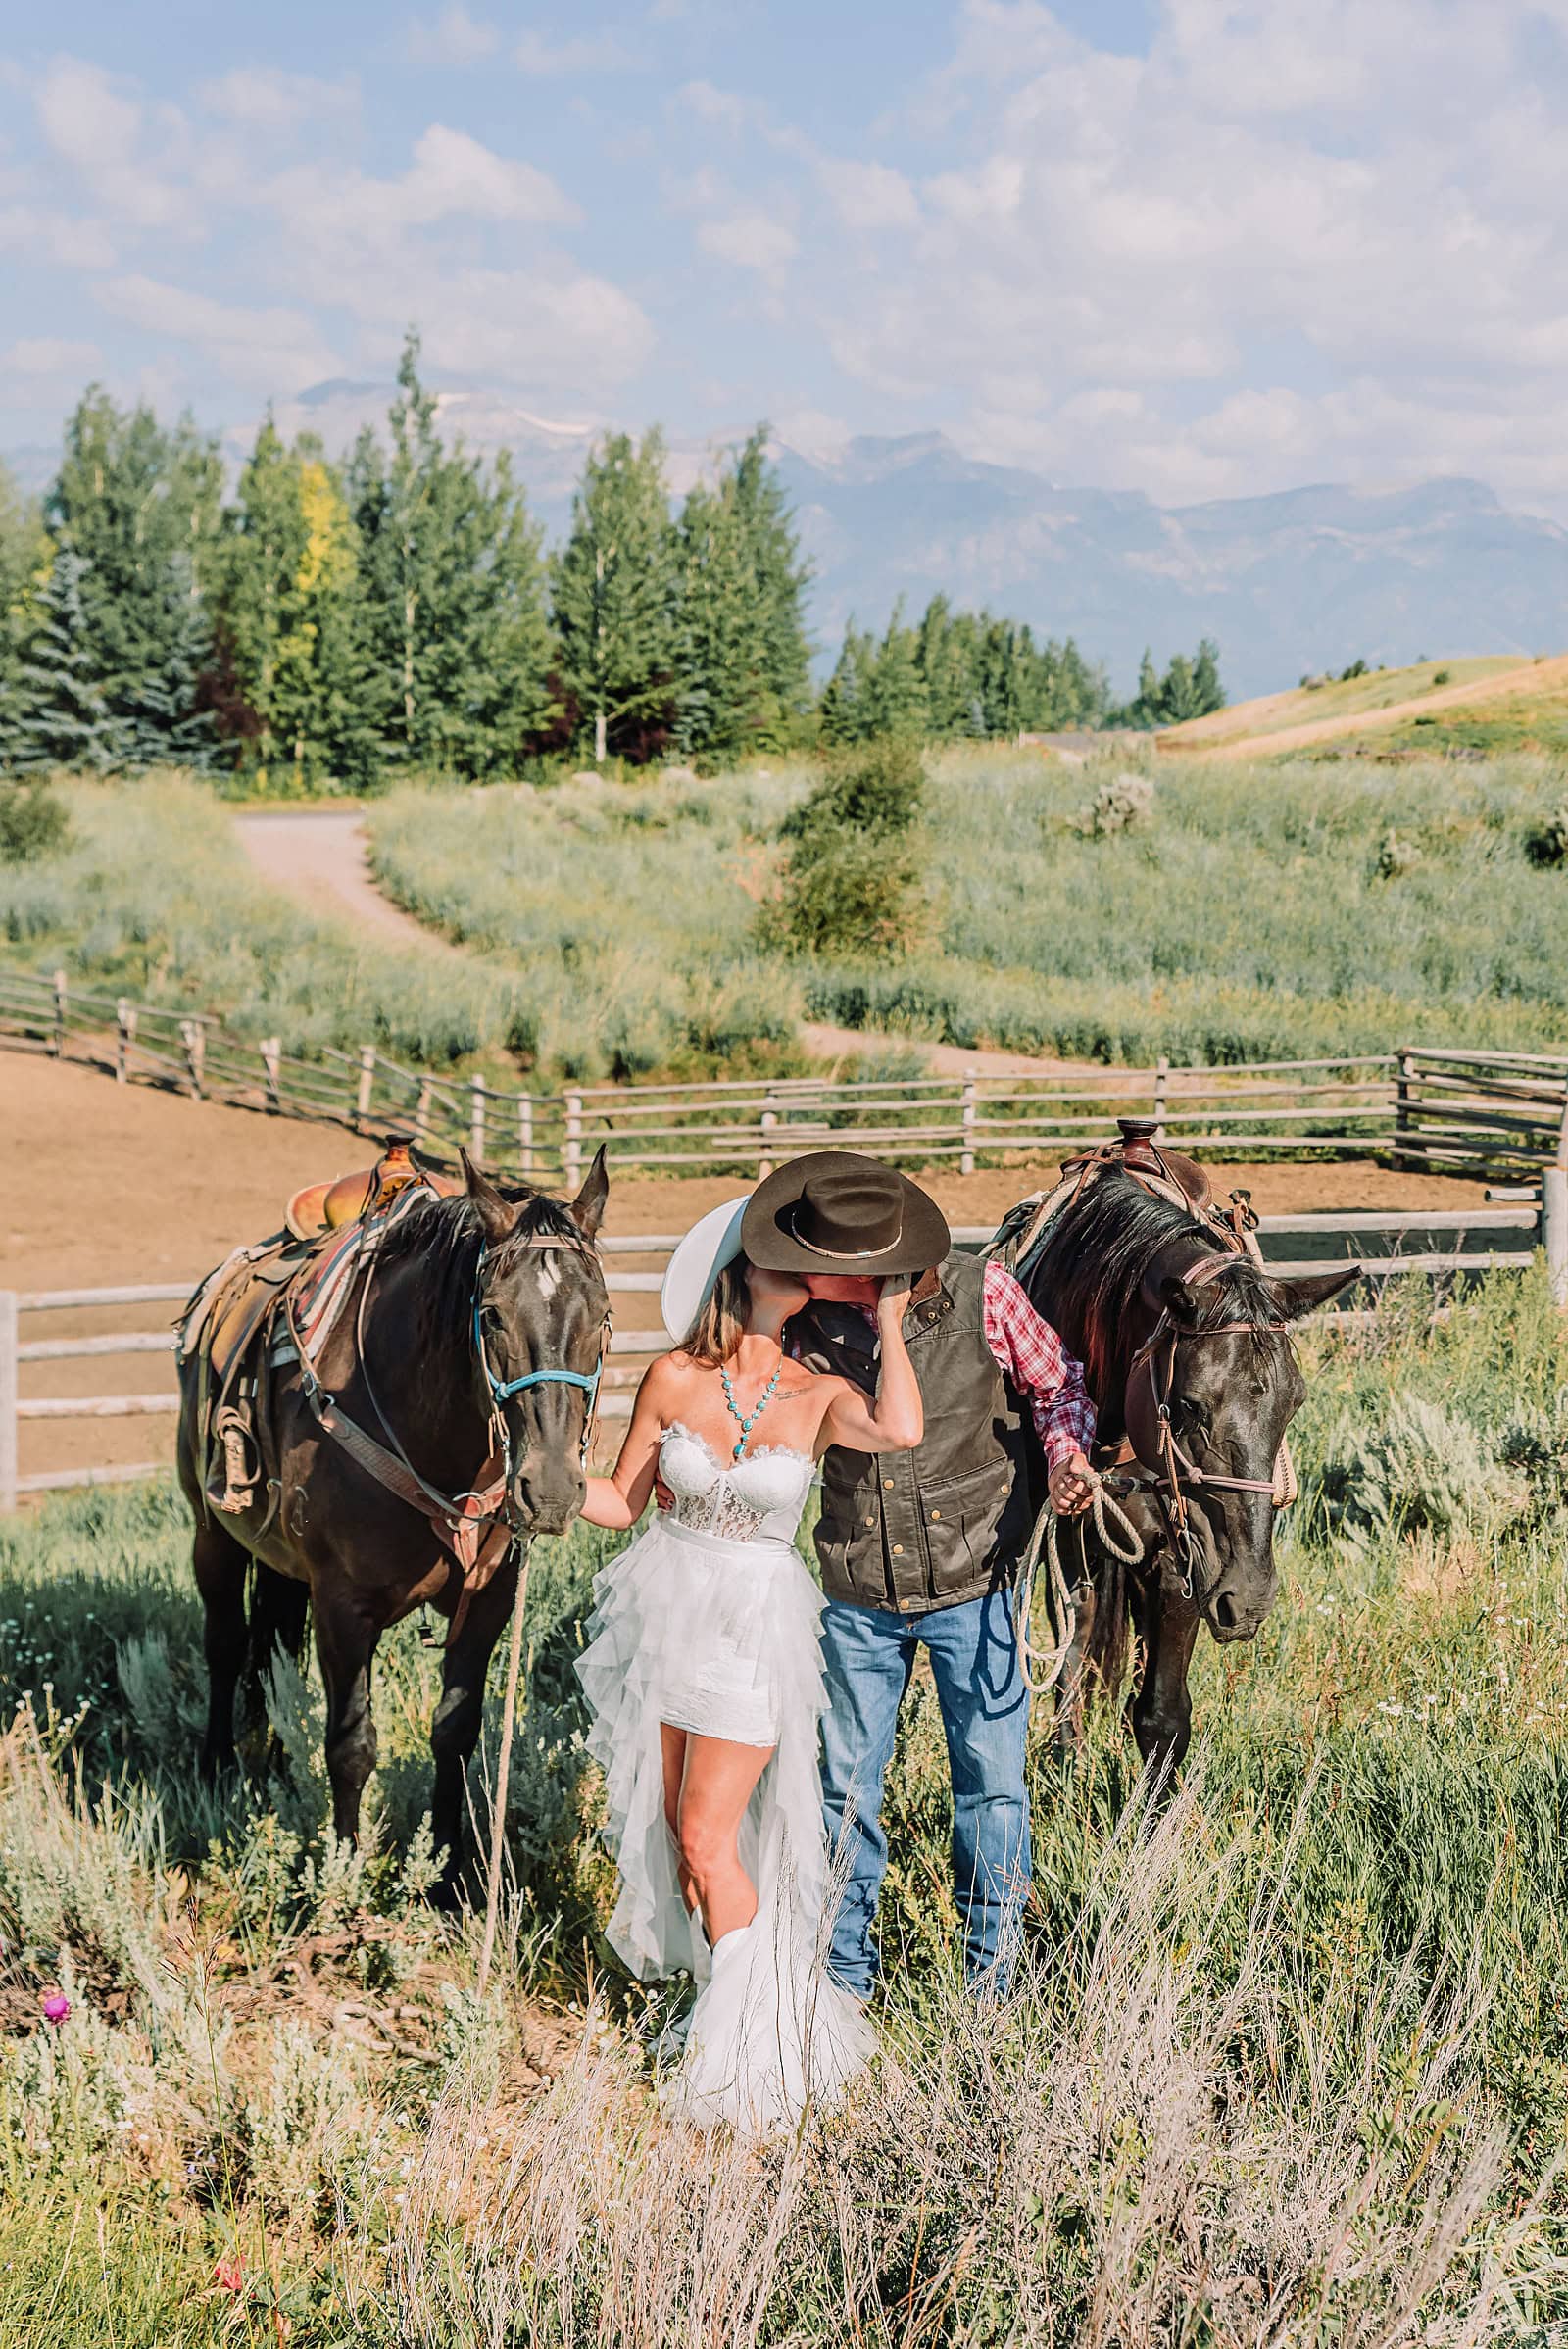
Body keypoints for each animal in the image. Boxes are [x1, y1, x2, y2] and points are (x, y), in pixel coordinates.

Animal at [175, 1146, 605, 1897]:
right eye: (492, 1315)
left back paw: (272, 1768)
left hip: (283, 1565)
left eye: (603, 1314)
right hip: (213, 1536)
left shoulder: (487, 1600)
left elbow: (455, 1732)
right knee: (225, 1644)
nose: (550, 1488)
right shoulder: (344, 1607)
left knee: (273, 1656)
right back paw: (219, 1768)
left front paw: (451, 1875)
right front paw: (345, 1876)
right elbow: (351, 1744)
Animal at [1018, 1155, 1351, 1776]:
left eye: (1295, 1402)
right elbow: (1073, 1655)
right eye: (1189, 1405)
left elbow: (1162, 1715)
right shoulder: (1068, 1535)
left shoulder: (1185, 1561)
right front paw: (1069, 1771)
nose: (1249, 1597)